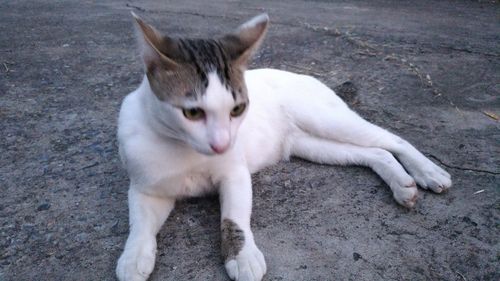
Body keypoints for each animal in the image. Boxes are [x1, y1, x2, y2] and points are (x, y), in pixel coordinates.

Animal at [117, 12, 454, 280]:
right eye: (192, 113)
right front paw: (134, 256)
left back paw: (428, 172)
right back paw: (402, 185)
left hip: (326, 120)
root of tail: (308, 76)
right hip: (313, 145)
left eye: (237, 109)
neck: (184, 149)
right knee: (375, 153)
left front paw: (242, 256)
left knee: (392, 139)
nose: (222, 144)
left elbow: (234, 218)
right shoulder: (147, 188)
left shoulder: (235, 175)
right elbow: (139, 225)